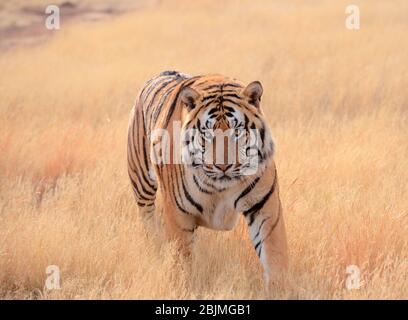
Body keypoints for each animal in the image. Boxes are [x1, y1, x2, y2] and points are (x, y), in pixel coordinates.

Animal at [126, 71, 286, 284]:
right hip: (142, 183)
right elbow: (182, 260)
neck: (220, 188)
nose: (223, 166)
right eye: (207, 134)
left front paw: (280, 286)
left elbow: (274, 253)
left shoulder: (264, 205)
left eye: (237, 132)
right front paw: (183, 285)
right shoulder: (179, 214)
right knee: (148, 221)